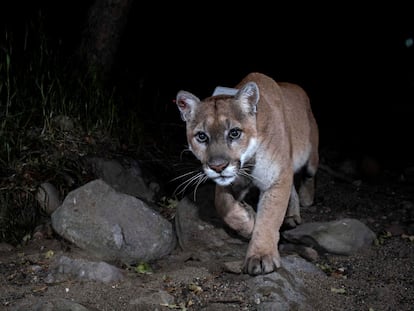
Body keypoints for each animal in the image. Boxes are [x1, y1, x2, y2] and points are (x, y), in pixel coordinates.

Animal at [175, 72, 320, 276]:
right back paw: (291, 216)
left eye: (234, 133)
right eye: (202, 136)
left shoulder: (276, 177)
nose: (218, 167)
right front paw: (249, 221)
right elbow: (223, 205)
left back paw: (306, 199)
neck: (249, 161)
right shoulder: (232, 181)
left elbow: (269, 216)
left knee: (308, 174)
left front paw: (261, 256)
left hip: (310, 155)